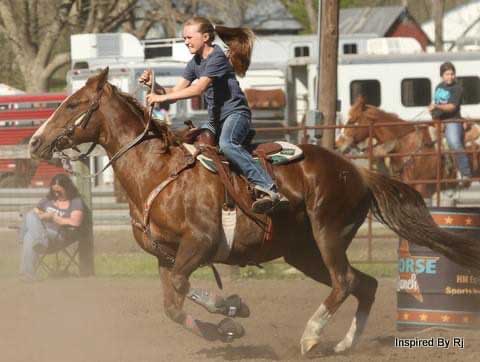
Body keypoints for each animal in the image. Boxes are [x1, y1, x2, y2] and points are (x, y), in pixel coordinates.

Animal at [27, 68, 480, 356]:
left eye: (74, 104)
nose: (34, 142)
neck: (158, 172)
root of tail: (357, 170)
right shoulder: (165, 255)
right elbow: (174, 303)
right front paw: (227, 322)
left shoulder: (200, 243)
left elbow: (182, 290)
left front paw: (229, 311)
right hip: (302, 252)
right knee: (363, 285)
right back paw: (343, 344)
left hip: (328, 234)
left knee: (346, 281)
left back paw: (311, 337)